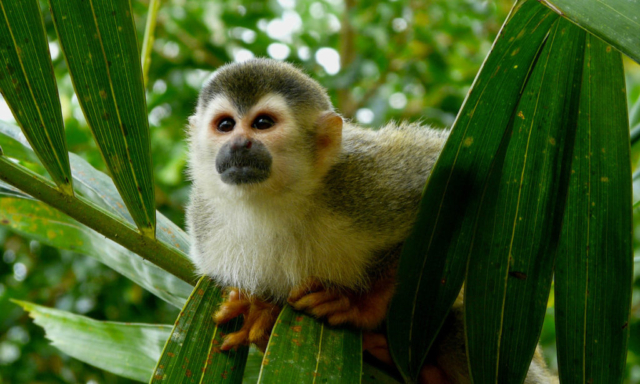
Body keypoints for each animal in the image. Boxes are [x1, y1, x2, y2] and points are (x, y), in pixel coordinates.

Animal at [185, 58, 556, 382]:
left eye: (262, 124)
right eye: (225, 125)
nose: (239, 144)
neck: (277, 199)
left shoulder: (364, 180)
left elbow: (461, 179)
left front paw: (360, 304)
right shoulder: (205, 225)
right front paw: (260, 312)